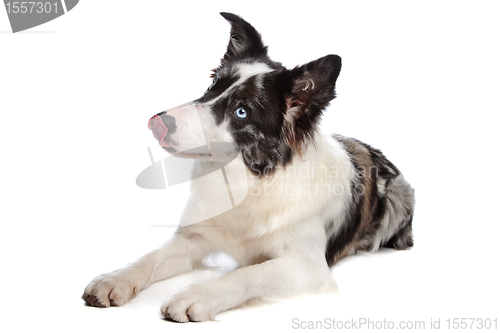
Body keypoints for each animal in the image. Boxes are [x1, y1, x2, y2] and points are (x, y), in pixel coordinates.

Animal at [84, 13, 416, 322]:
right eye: (212, 85)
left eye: (241, 112)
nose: (157, 124)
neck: (248, 181)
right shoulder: (194, 238)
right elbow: (149, 258)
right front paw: (115, 278)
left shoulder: (307, 265)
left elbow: (246, 274)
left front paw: (198, 295)